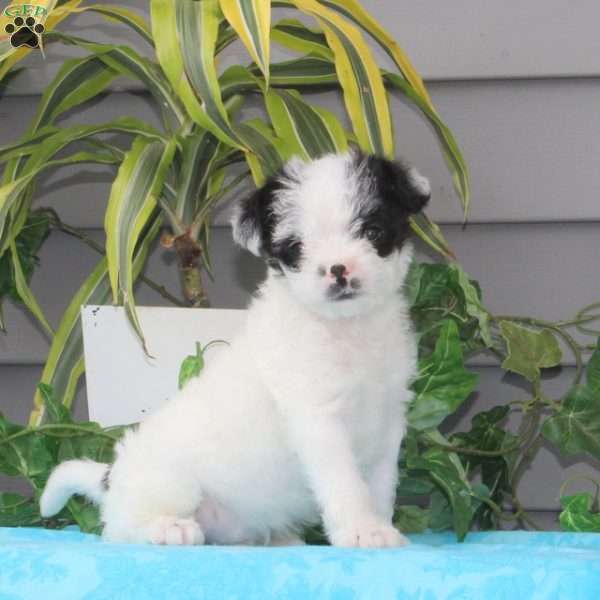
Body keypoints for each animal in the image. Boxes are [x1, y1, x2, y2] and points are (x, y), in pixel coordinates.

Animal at [39, 150, 428, 548]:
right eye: (296, 248)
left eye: (373, 231)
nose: (338, 270)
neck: (346, 329)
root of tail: (113, 476)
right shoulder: (320, 422)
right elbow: (346, 484)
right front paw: (362, 530)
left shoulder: (387, 422)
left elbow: (381, 485)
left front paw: (380, 525)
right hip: (170, 483)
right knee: (120, 529)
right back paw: (168, 528)